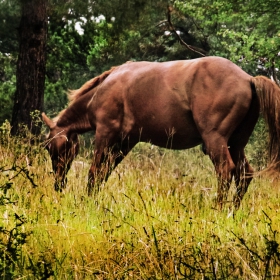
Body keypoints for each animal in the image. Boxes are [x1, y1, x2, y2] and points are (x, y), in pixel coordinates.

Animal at [41, 57, 280, 209]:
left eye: (50, 147)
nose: (58, 185)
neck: (104, 89)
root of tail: (248, 78)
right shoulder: (125, 143)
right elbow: (104, 173)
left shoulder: (105, 135)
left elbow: (94, 172)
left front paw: (87, 202)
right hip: (236, 144)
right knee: (244, 174)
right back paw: (232, 211)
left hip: (216, 141)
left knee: (225, 170)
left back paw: (219, 209)